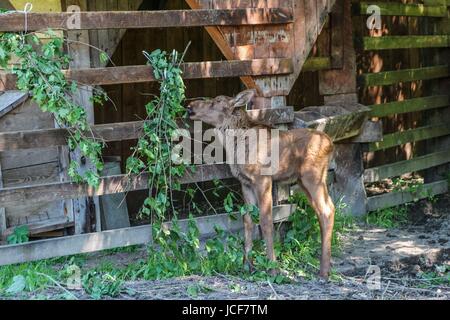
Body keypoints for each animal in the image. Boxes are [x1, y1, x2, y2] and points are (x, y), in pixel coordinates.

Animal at [186, 89, 334, 278]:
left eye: (216, 102)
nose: (190, 106)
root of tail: (331, 144)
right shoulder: (245, 183)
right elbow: (248, 219)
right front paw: (247, 265)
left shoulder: (263, 179)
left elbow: (266, 220)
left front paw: (273, 268)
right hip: (304, 181)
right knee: (324, 210)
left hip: (313, 177)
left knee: (327, 210)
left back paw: (323, 270)